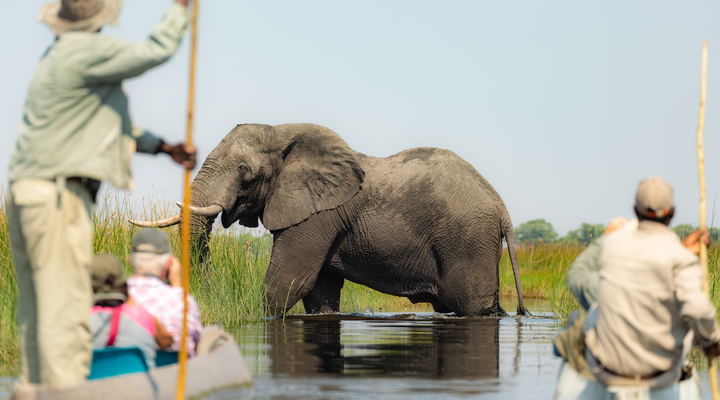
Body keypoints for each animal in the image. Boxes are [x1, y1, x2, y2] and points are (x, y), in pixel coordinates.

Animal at [132, 123, 528, 317]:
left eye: (245, 172)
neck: (285, 133)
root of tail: (500, 205)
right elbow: (319, 291)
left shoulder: (318, 216)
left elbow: (288, 281)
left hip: (466, 239)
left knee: (473, 306)